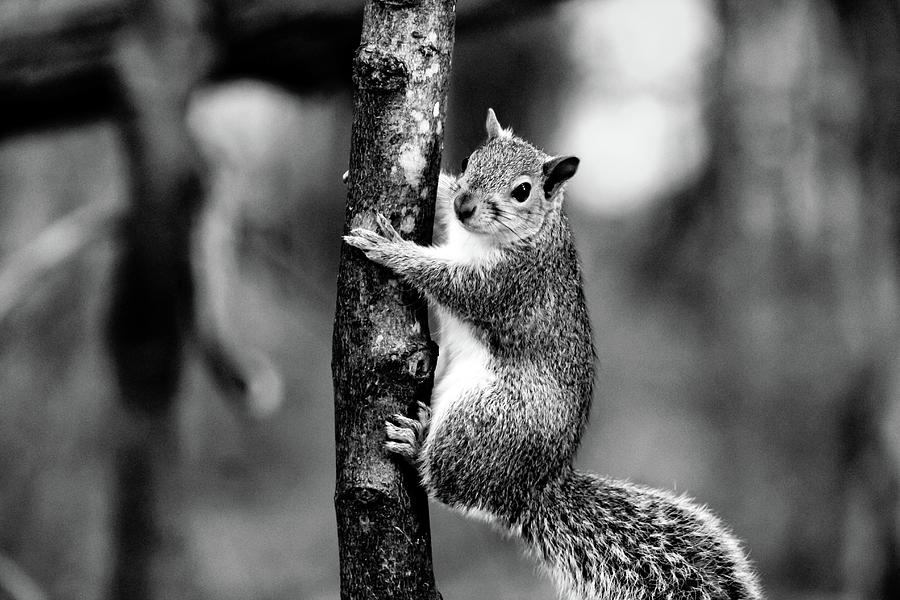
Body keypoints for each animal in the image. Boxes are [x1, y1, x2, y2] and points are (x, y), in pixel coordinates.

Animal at [342, 109, 760, 600]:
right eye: (467, 160)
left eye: (523, 191)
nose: (466, 206)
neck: (514, 235)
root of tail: (534, 486)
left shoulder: (509, 285)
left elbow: (451, 283)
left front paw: (391, 249)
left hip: (490, 418)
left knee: (449, 483)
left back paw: (415, 443)